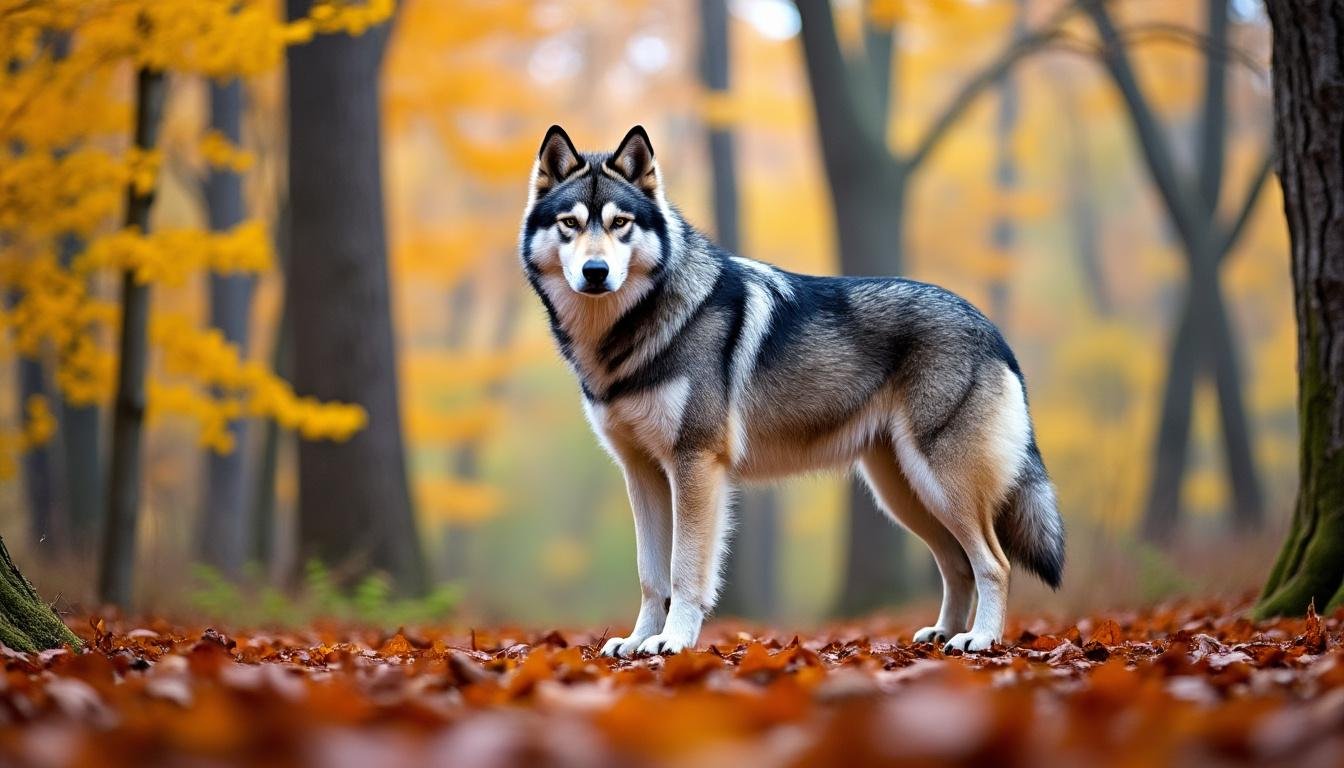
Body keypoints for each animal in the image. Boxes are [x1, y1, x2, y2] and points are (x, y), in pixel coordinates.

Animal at [518, 125, 1064, 657]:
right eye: (570, 224)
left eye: (620, 223)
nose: (595, 272)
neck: (630, 331)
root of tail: (992, 329)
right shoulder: (642, 474)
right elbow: (651, 575)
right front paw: (636, 642)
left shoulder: (696, 464)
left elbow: (683, 571)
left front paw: (672, 642)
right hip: (904, 494)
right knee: (956, 564)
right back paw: (943, 635)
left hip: (940, 484)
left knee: (994, 563)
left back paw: (981, 639)